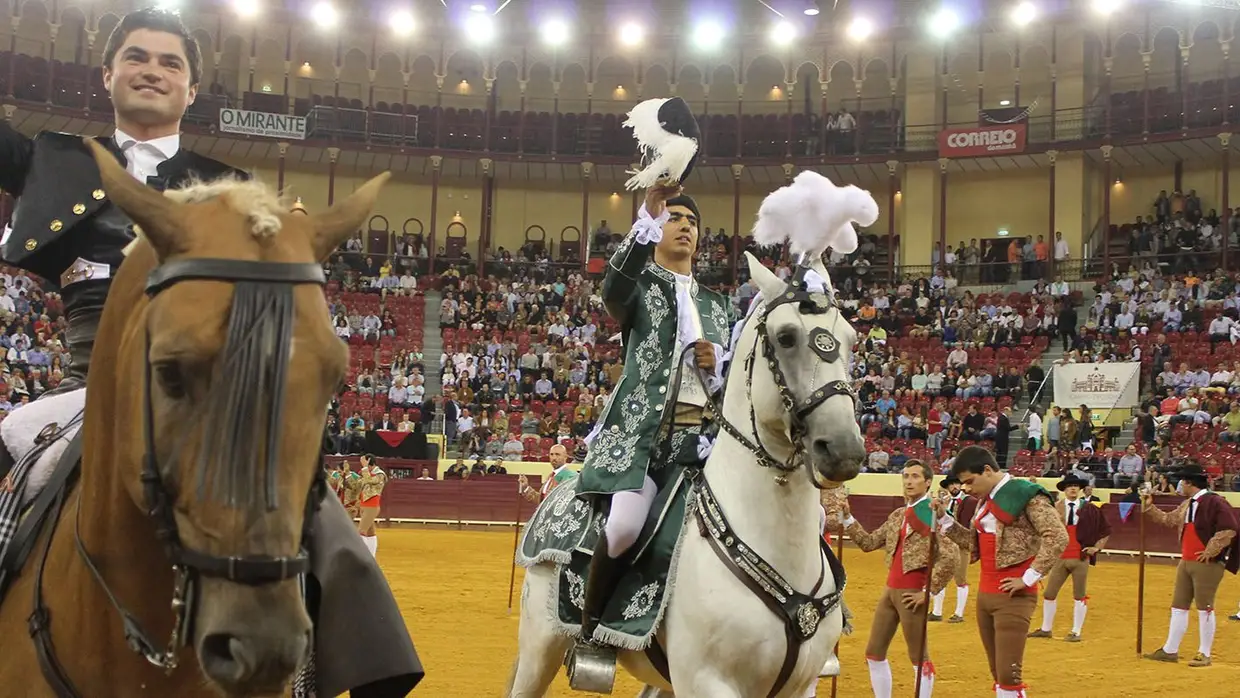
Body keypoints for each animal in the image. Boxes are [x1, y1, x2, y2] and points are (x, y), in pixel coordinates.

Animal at [503, 254, 863, 698]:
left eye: (850, 339)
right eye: (786, 337)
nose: (843, 450)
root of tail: (556, 493)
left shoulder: (801, 685)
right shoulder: (706, 680)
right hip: (540, 645)